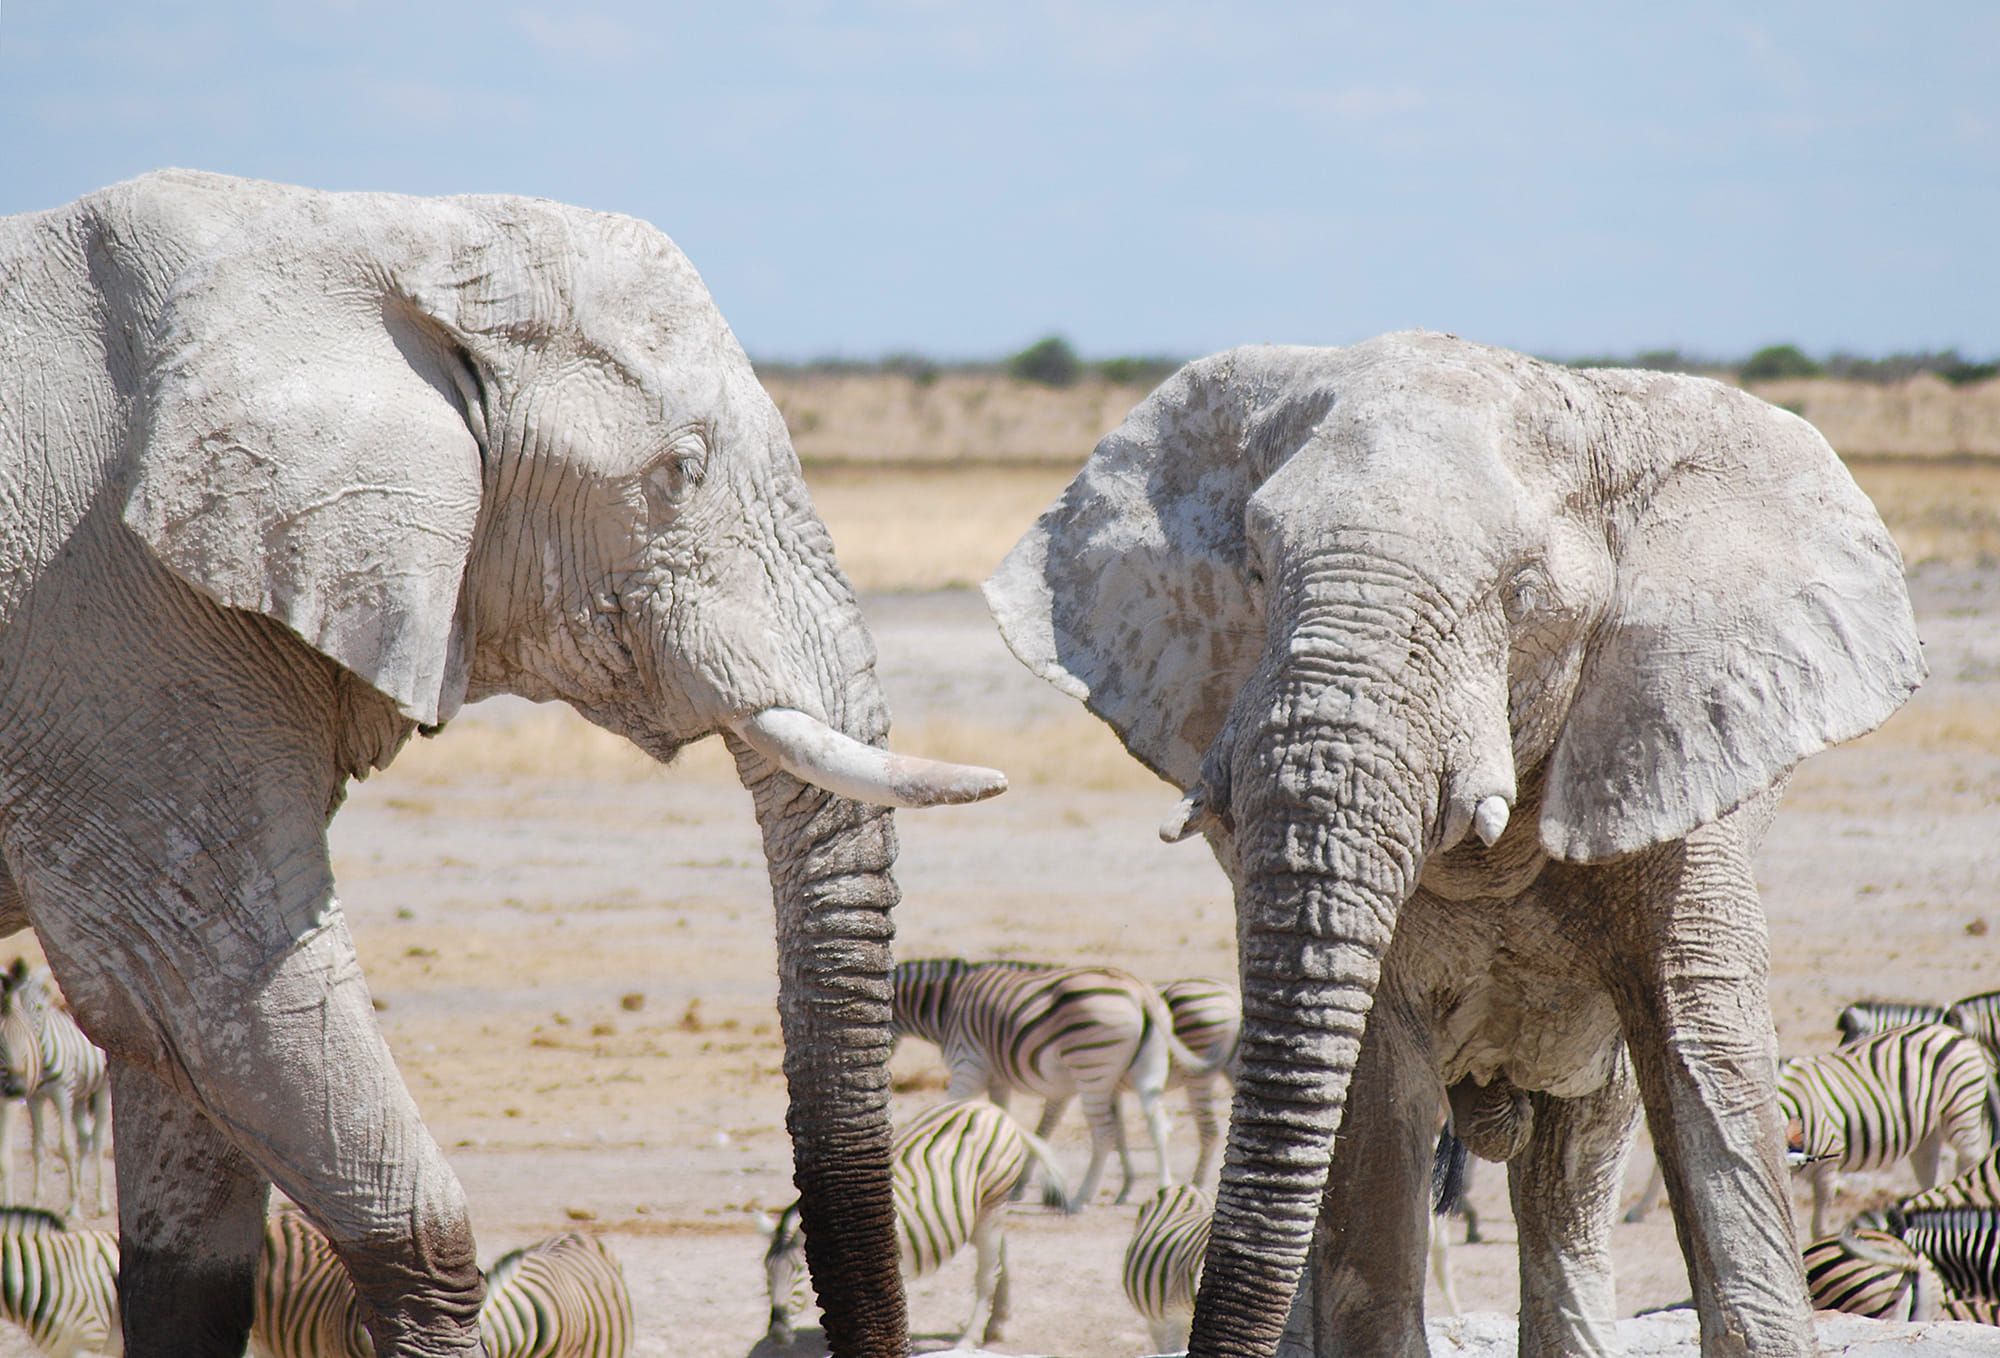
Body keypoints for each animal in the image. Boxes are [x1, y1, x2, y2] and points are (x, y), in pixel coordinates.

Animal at [985, 332, 1924, 1357]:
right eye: (1258, 571)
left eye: (1521, 594)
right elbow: (1369, 1116)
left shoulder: (1669, 754)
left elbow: (1707, 1073)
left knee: (1573, 1166)